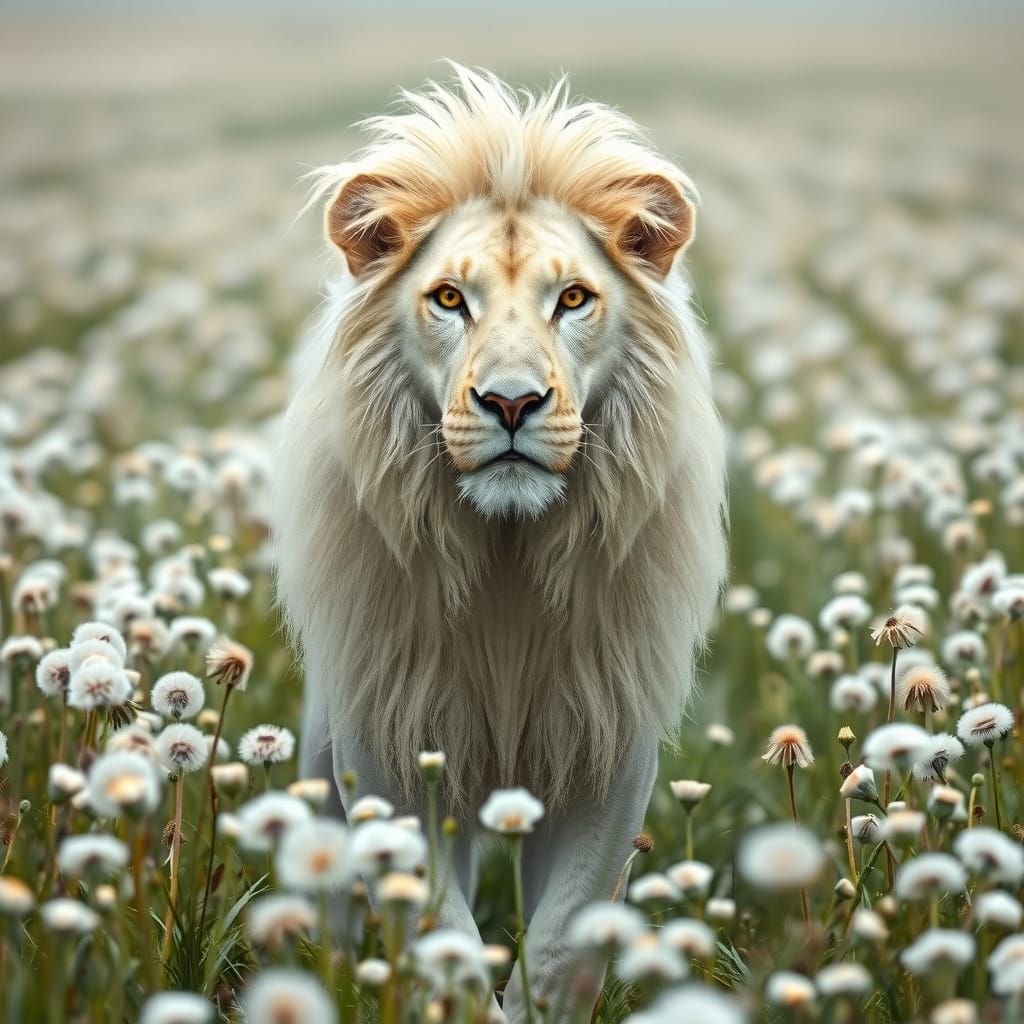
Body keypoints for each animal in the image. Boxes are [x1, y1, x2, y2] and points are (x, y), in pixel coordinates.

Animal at [273, 65, 727, 1021]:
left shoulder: (608, 747)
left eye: (573, 298)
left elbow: (562, 942)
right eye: (450, 298)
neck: (509, 560)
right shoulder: (391, 743)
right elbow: (437, 927)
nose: (512, 403)